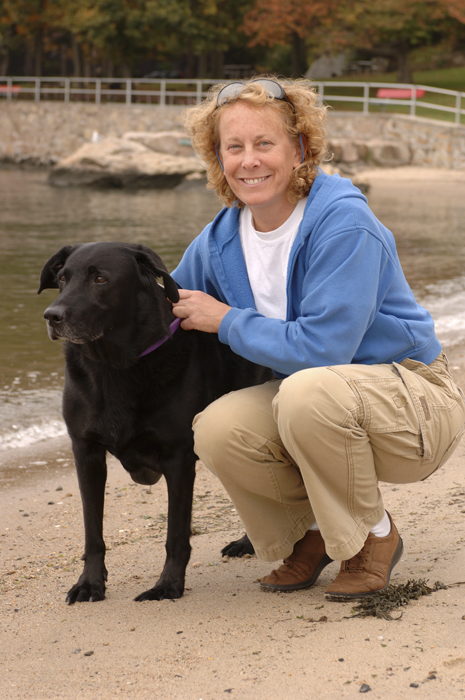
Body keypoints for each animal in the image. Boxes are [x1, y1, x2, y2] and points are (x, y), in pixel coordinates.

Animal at [38, 242, 271, 603]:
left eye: (101, 279)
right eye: (63, 278)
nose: (52, 316)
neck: (116, 367)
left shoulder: (178, 458)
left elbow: (175, 535)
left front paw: (168, 585)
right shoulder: (86, 452)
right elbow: (93, 532)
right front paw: (90, 583)